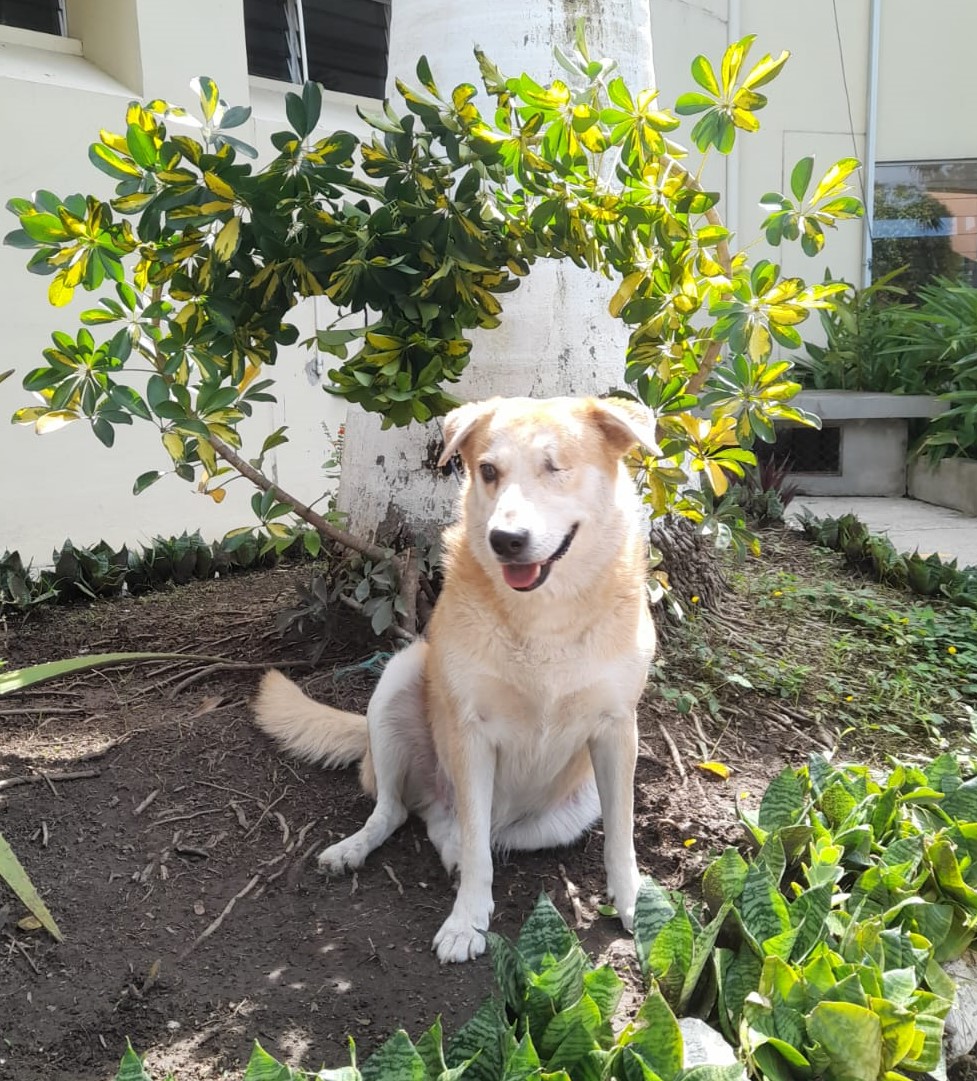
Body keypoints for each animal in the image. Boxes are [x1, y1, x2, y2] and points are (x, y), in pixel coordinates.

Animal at [253, 395, 658, 963]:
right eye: (488, 471)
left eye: (556, 467)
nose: (505, 540)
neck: (544, 616)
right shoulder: (471, 734)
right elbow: (473, 839)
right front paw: (466, 921)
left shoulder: (618, 729)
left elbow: (621, 837)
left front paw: (635, 903)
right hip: (400, 678)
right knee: (401, 813)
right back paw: (358, 848)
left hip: (570, 810)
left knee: (461, 832)